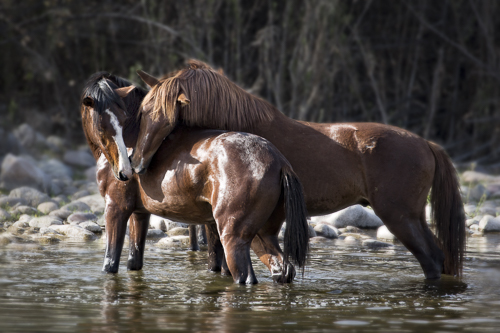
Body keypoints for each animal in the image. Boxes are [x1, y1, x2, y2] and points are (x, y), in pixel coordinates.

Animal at [79, 72, 308, 282]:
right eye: (101, 126)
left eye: (124, 120)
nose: (126, 171)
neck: (132, 138)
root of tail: (278, 160)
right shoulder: (139, 213)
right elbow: (134, 262)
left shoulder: (116, 208)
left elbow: (110, 263)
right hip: (264, 235)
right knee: (282, 269)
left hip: (234, 238)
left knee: (244, 276)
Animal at [131, 60, 466, 280]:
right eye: (142, 112)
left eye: (161, 116)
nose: (136, 163)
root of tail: (426, 144)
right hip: (413, 217)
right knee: (440, 258)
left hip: (400, 217)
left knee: (431, 260)